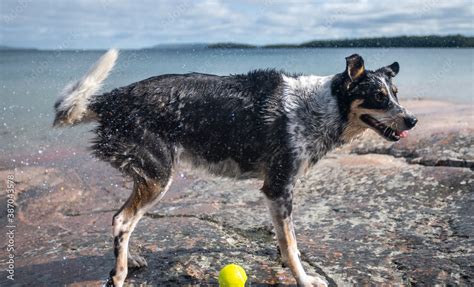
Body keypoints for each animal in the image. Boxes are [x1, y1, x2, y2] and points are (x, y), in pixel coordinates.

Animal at [52, 50, 418, 286]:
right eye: (378, 97)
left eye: (396, 94)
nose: (413, 120)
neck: (324, 107)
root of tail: (112, 99)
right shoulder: (278, 187)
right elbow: (292, 244)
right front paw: (303, 278)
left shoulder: (278, 193)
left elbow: (285, 240)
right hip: (158, 177)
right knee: (122, 220)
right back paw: (119, 274)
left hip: (147, 175)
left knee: (121, 219)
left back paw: (133, 257)